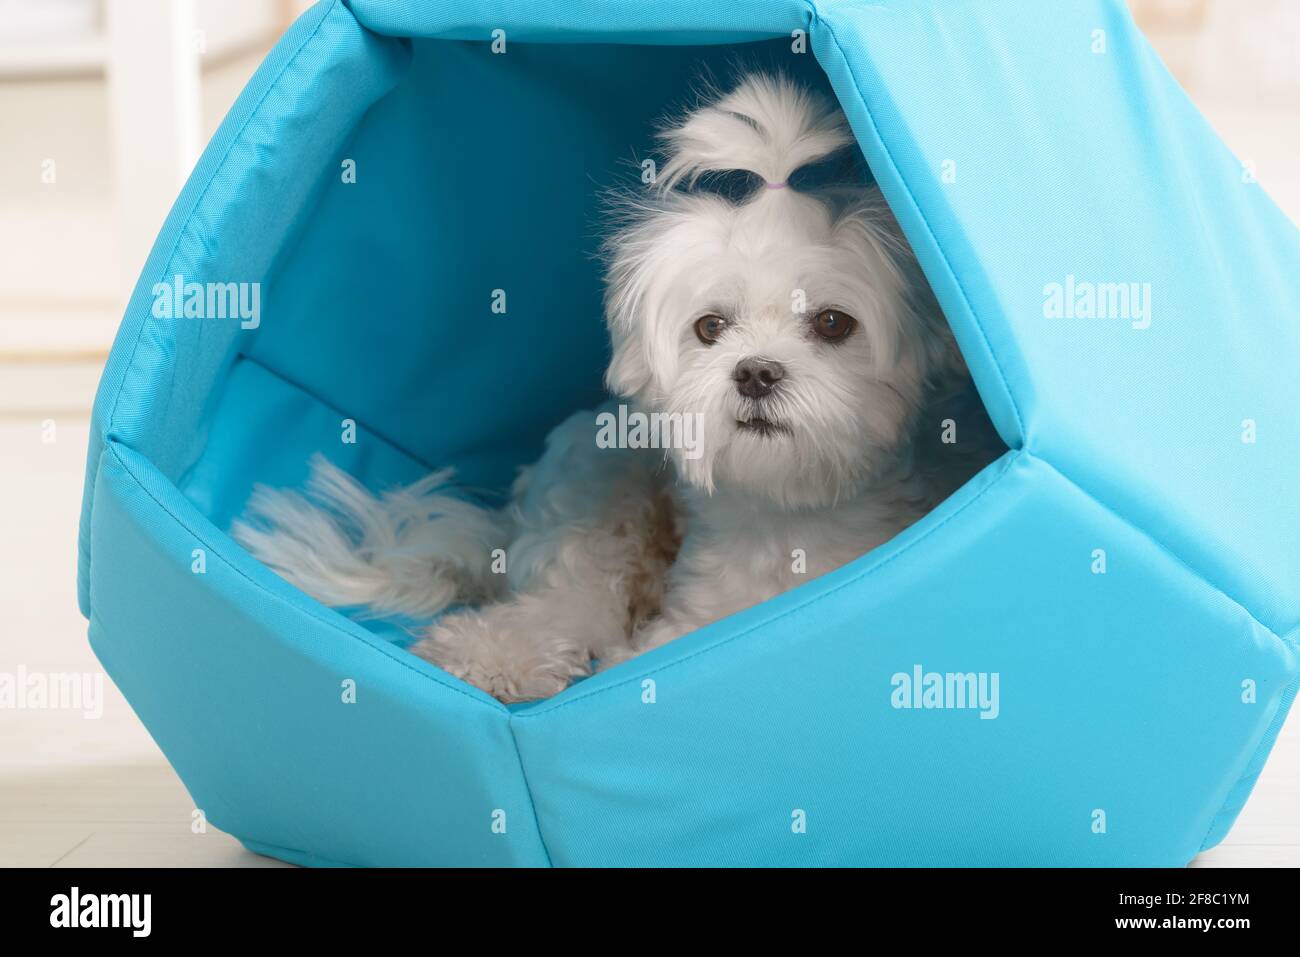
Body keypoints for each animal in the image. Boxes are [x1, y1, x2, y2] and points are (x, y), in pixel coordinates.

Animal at [233, 72, 998, 702]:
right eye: (710, 326)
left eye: (835, 322)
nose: (755, 371)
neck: (790, 518)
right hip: (599, 494)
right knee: (570, 599)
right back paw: (491, 655)